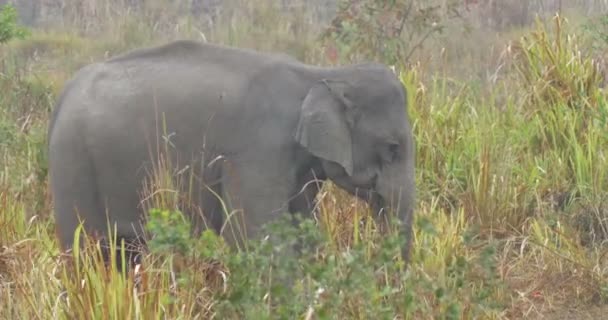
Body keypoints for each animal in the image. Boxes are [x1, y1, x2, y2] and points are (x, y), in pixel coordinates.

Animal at [47, 39, 416, 268]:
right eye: (393, 148)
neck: (320, 74)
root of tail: (62, 96)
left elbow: (299, 230)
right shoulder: (255, 151)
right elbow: (254, 236)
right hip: (73, 162)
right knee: (86, 248)